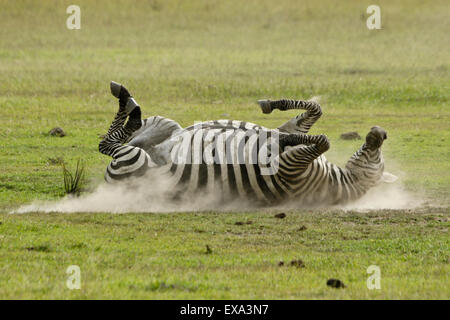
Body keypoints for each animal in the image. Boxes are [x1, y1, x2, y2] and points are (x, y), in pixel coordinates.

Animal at [99, 81, 398, 206]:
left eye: (376, 159)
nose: (380, 132)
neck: (336, 181)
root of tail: (108, 183)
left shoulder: (289, 168)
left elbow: (322, 140)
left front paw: (278, 139)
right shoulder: (292, 128)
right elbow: (315, 109)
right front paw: (270, 107)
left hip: (136, 162)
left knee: (106, 145)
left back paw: (128, 102)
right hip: (165, 126)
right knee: (129, 134)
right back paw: (128, 100)